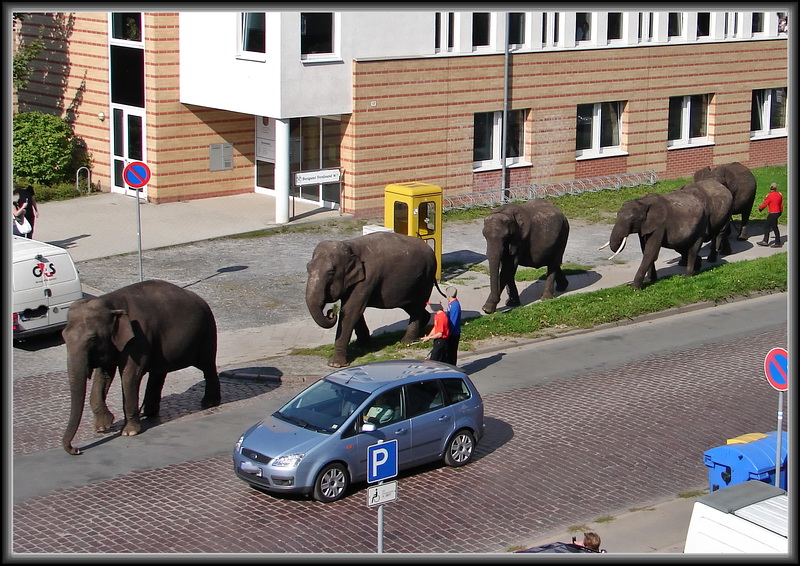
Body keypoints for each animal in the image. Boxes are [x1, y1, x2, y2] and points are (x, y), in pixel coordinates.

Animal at [61, 280, 222, 458]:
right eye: (63, 337)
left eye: (92, 338)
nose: (76, 450)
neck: (110, 302)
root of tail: (201, 299)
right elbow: (104, 375)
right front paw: (103, 427)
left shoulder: (138, 338)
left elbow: (129, 376)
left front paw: (129, 432)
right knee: (158, 372)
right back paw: (148, 412)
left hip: (207, 332)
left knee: (207, 365)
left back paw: (209, 403)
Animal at [304, 231, 438, 368]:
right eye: (307, 268)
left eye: (330, 273)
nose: (331, 312)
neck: (350, 246)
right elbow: (354, 312)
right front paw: (363, 346)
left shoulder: (367, 279)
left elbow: (351, 311)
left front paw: (335, 364)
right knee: (408, 303)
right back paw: (421, 328)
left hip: (426, 277)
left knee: (417, 305)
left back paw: (407, 341)